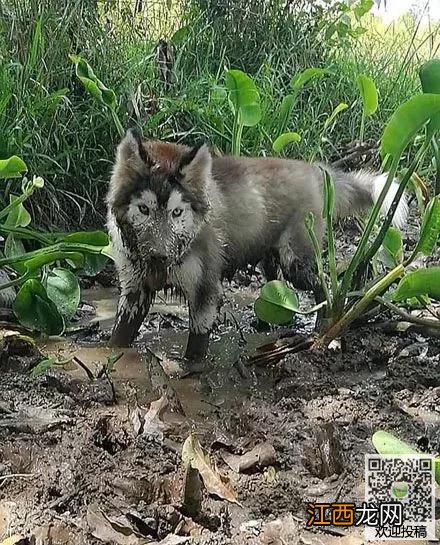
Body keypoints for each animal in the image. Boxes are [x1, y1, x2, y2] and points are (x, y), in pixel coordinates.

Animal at [106, 129, 410, 364]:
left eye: (177, 213)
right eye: (144, 209)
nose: (158, 257)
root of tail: (315, 169)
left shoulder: (206, 291)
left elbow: (196, 349)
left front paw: (191, 372)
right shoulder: (134, 290)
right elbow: (117, 339)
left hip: (295, 262)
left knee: (325, 286)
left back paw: (322, 330)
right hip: (271, 261)